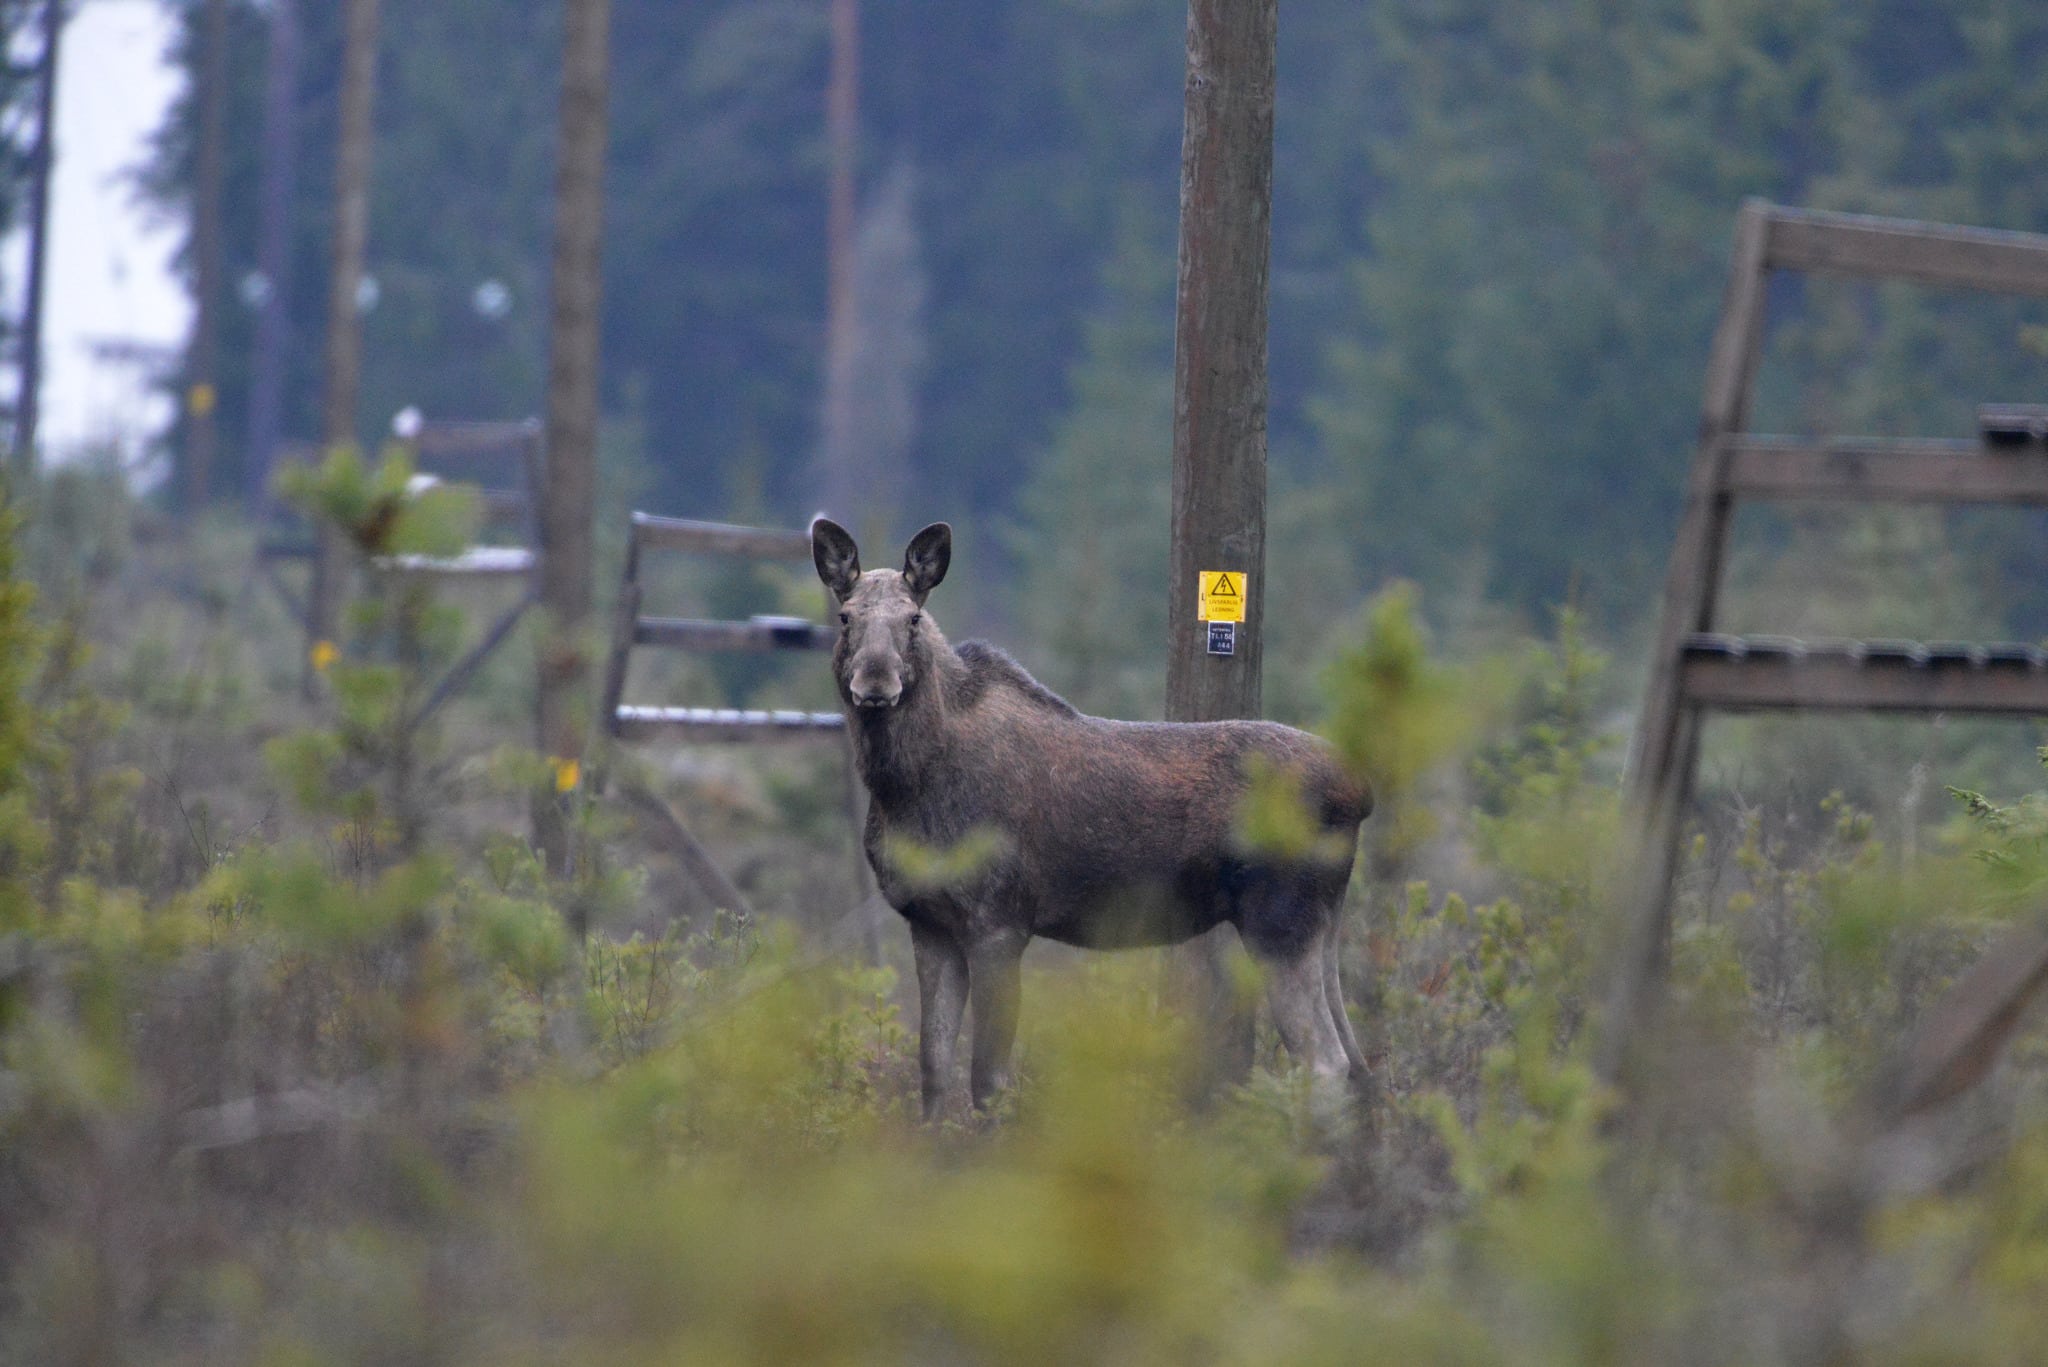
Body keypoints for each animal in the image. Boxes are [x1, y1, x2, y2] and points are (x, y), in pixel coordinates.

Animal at [806, 518, 1368, 1114]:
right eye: (845, 617)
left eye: (913, 618)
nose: (874, 683)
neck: (905, 791)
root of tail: (1362, 793)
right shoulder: (929, 922)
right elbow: (934, 1074)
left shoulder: (1000, 922)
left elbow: (987, 1081)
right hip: (1318, 924)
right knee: (1355, 1061)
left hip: (1279, 919)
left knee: (1327, 1063)